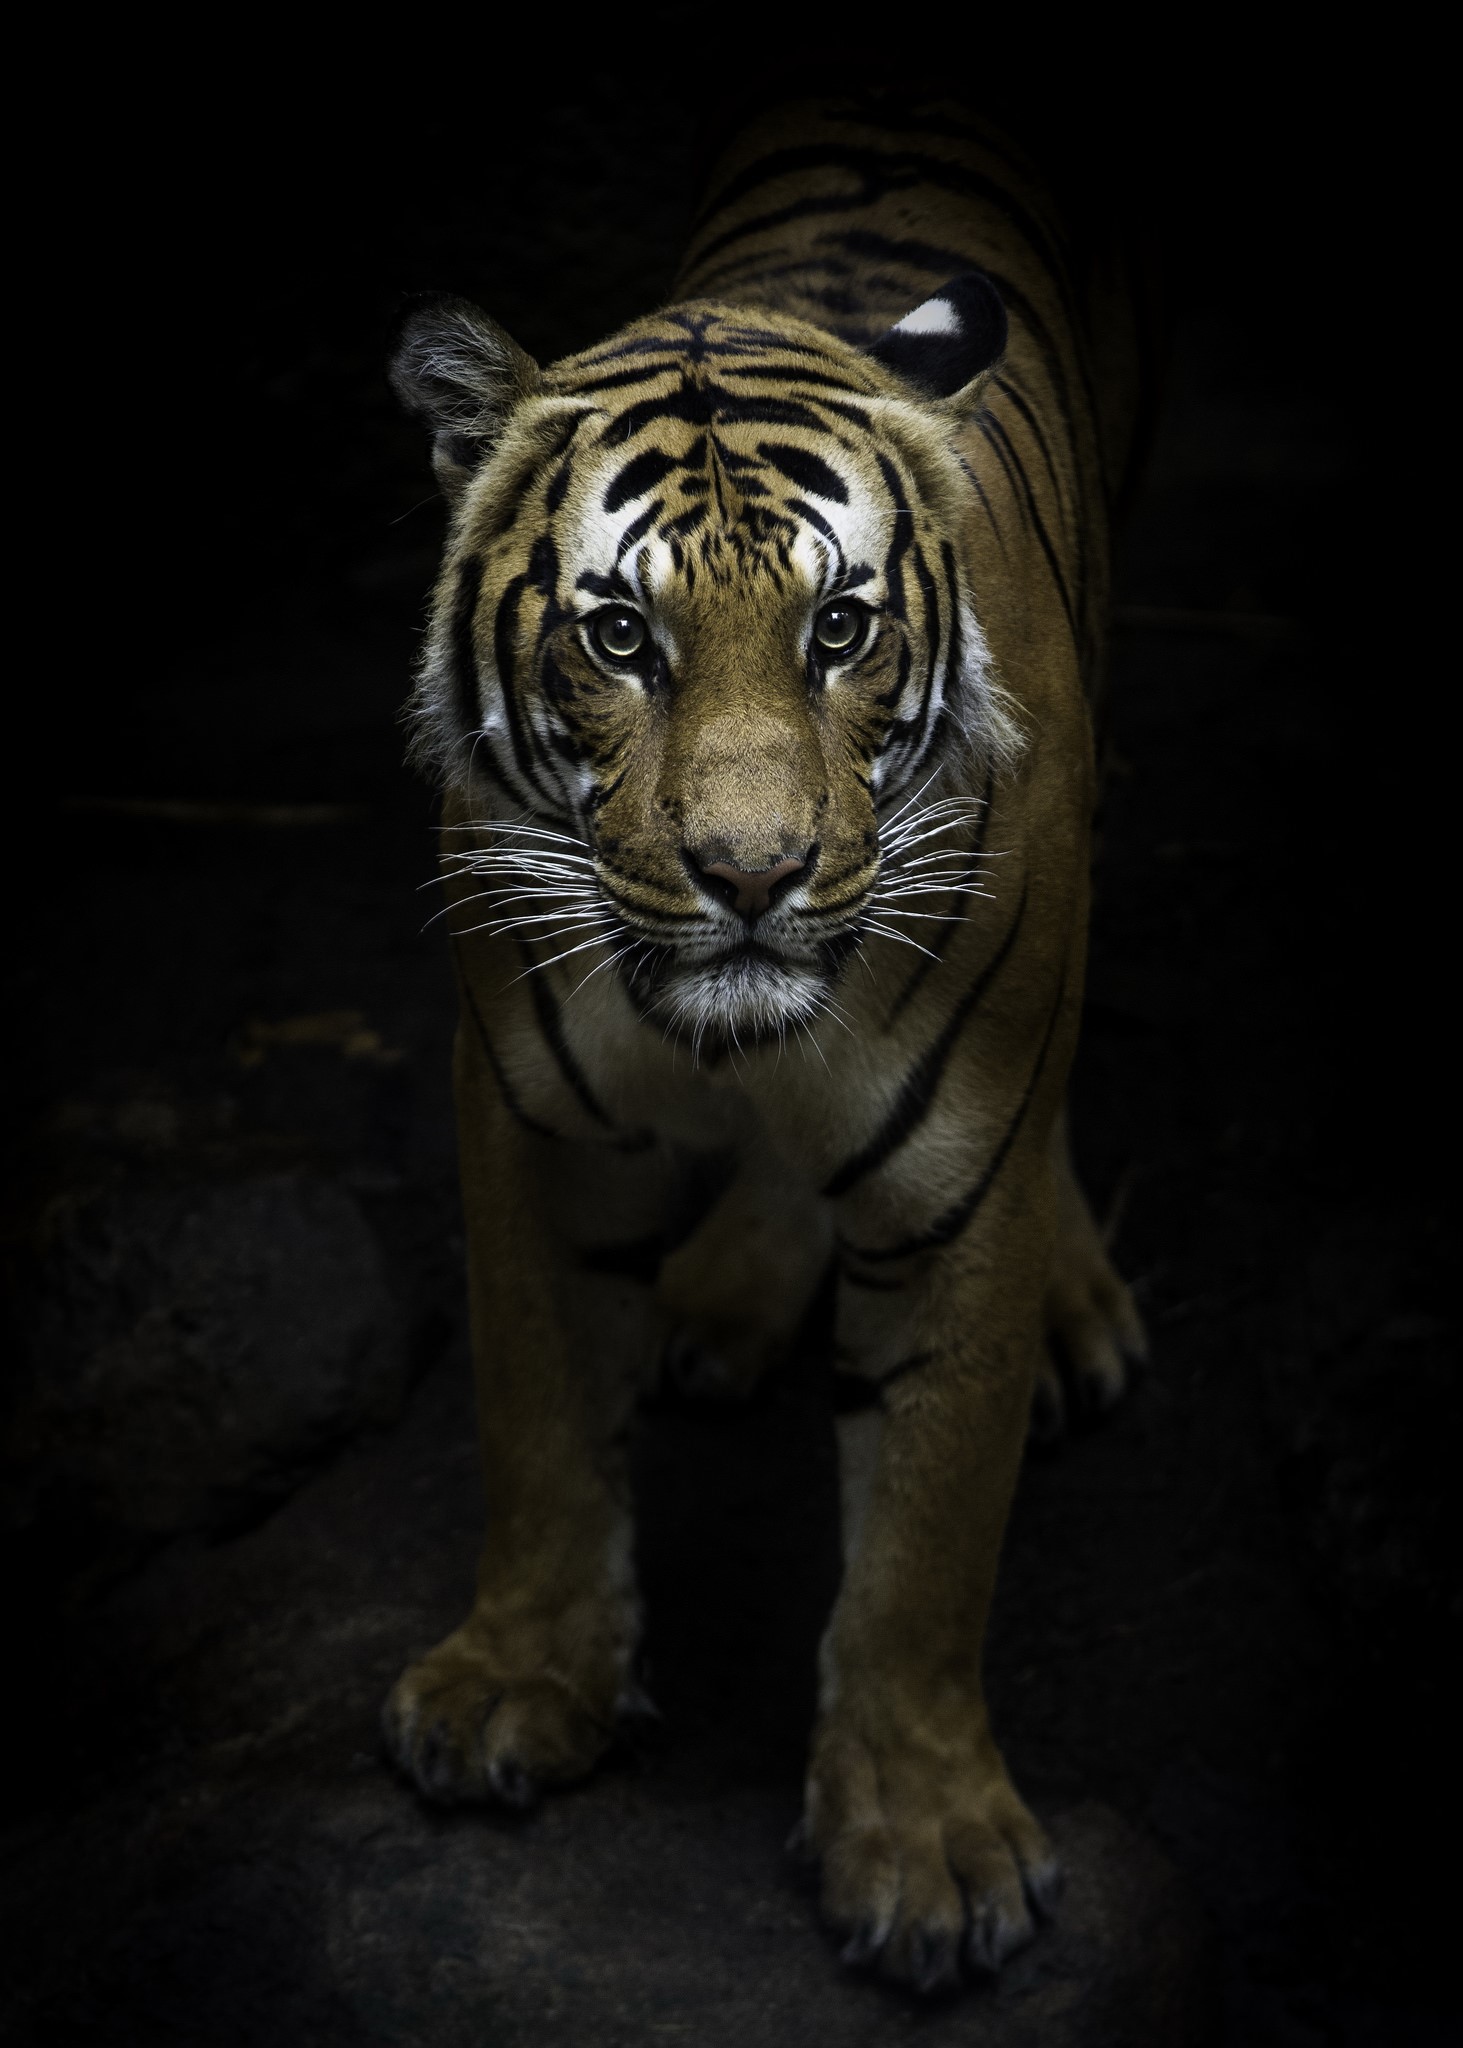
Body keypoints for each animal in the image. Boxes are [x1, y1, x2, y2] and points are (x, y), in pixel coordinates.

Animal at [380, 93, 1149, 1994]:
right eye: (617, 636)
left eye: (837, 628)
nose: (750, 875)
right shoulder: (526, 1118)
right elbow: (536, 1415)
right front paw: (520, 1683)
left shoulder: (962, 1179)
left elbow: (928, 1534)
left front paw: (927, 1852)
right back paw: (723, 1297)